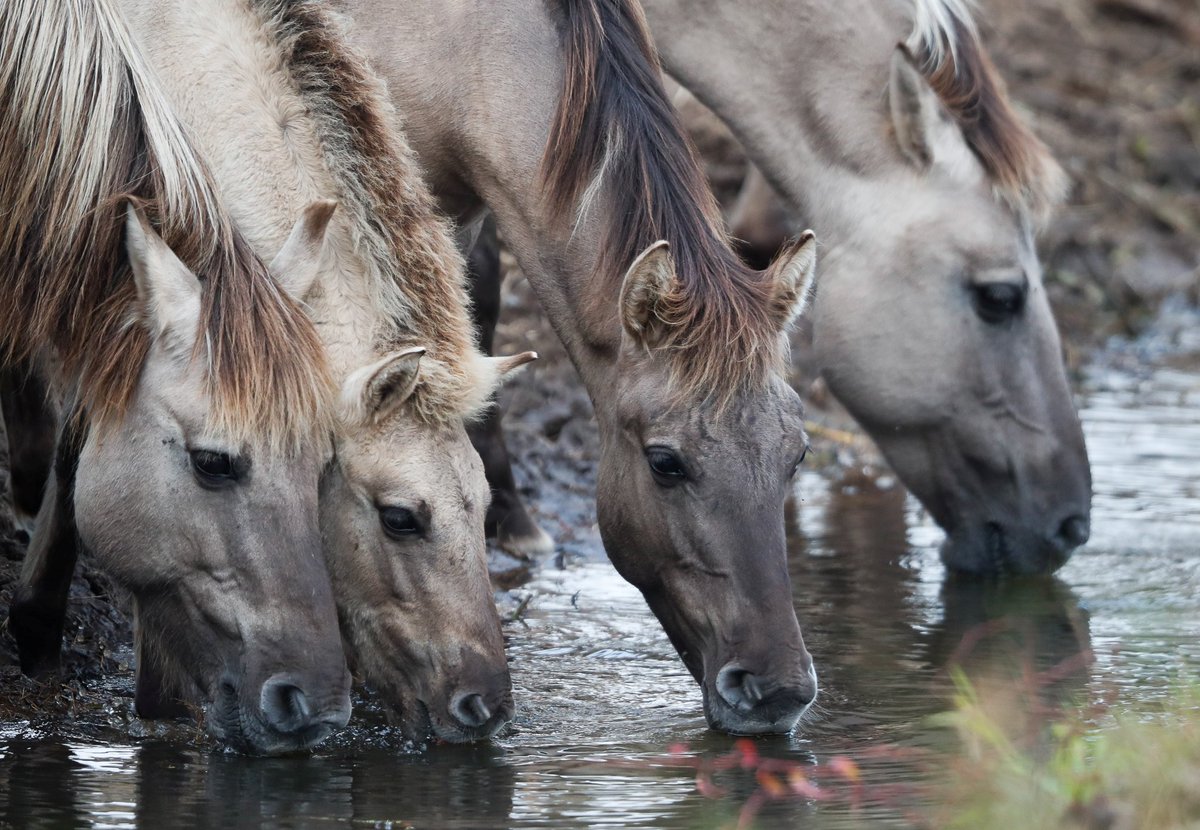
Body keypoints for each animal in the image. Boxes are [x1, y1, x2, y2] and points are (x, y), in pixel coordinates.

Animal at [346, 0, 819, 735]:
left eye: (797, 454)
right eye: (665, 462)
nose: (776, 691)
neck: (465, 45)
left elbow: (470, 322)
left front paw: (511, 516)